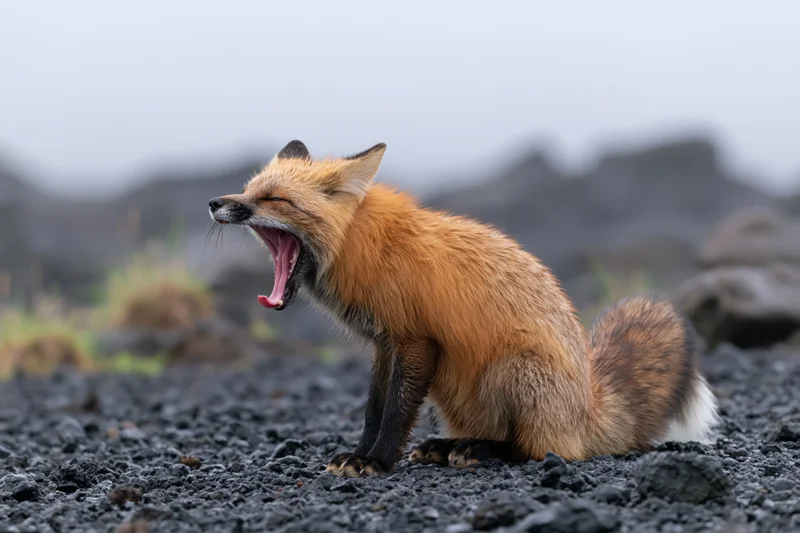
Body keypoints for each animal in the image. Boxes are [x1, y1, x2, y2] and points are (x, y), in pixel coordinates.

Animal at [208, 140, 719, 478]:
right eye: (248, 189)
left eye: (274, 199)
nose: (214, 202)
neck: (364, 246)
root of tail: (589, 405)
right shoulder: (384, 344)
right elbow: (374, 408)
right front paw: (360, 452)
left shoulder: (415, 339)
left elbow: (395, 412)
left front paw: (376, 460)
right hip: (452, 387)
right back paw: (449, 445)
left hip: (510, 370)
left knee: (540, 450)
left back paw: (481, 452)